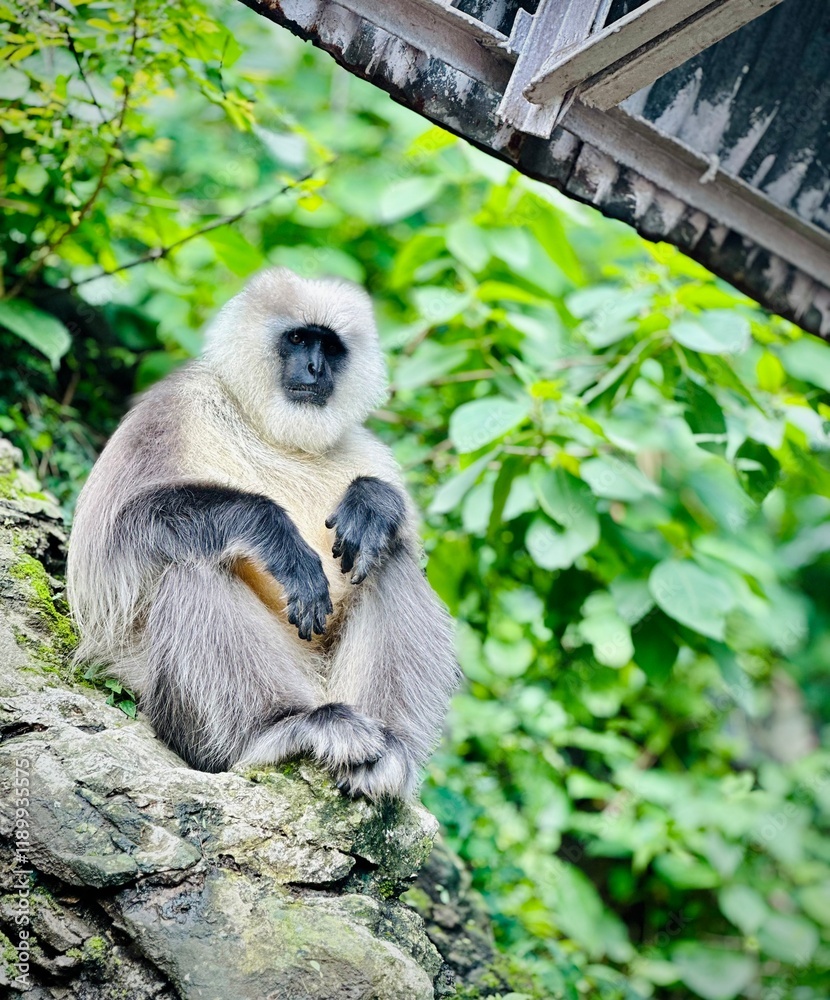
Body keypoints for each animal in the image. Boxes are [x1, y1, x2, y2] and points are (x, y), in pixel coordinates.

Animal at [66, 267, 460, 800]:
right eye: (297, 339)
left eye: (329, 346)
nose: (315, 368)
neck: (273, 432)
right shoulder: (172, 409)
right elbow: (108, 543)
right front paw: (276, 537)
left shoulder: (367, 450)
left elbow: (394, 535)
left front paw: (373, 502)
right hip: (152, 685)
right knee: (192, 562)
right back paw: (279, 727)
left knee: (385, 556)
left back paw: (388, 750)